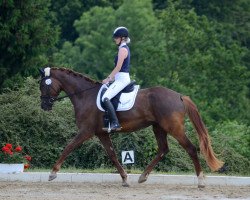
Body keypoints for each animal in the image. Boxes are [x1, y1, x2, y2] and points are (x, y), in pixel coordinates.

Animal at [40, 67, 224, 188]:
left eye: (43, 85)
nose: (44, 106)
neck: (84, 95)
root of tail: (179, 96)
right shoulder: (101, 133)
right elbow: (113, 155)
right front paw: (125, 179)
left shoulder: (86, 131)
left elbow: (68, 147)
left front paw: (52, 173)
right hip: (158, 128)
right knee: (163, 149)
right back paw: (142, 177)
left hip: (174, 128)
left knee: (191, 148)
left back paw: (201, 181)